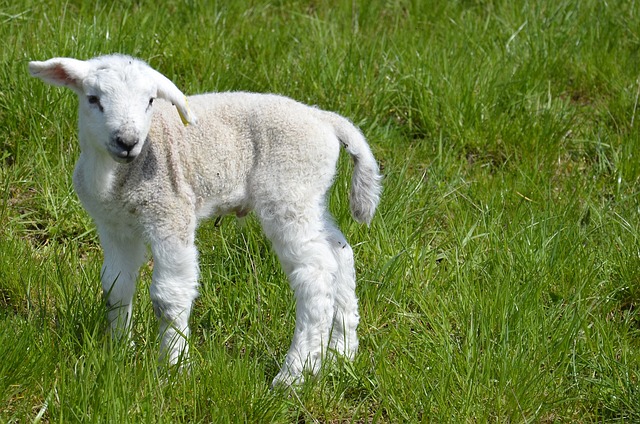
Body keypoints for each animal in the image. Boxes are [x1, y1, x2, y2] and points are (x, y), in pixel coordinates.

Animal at [28, 53, 380, 388]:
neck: (116, 178)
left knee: (315, 275)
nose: (127, 141)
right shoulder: (114, 226)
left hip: (289, 190)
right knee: (339, 253)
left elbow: (168, 296)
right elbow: (116, 287)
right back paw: (340, 354)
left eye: (150, 100)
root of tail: (324, 119)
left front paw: (174, 368)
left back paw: (294, 374)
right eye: (93, 99)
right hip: (311, 196)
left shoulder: (170, 214)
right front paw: (118, 353)